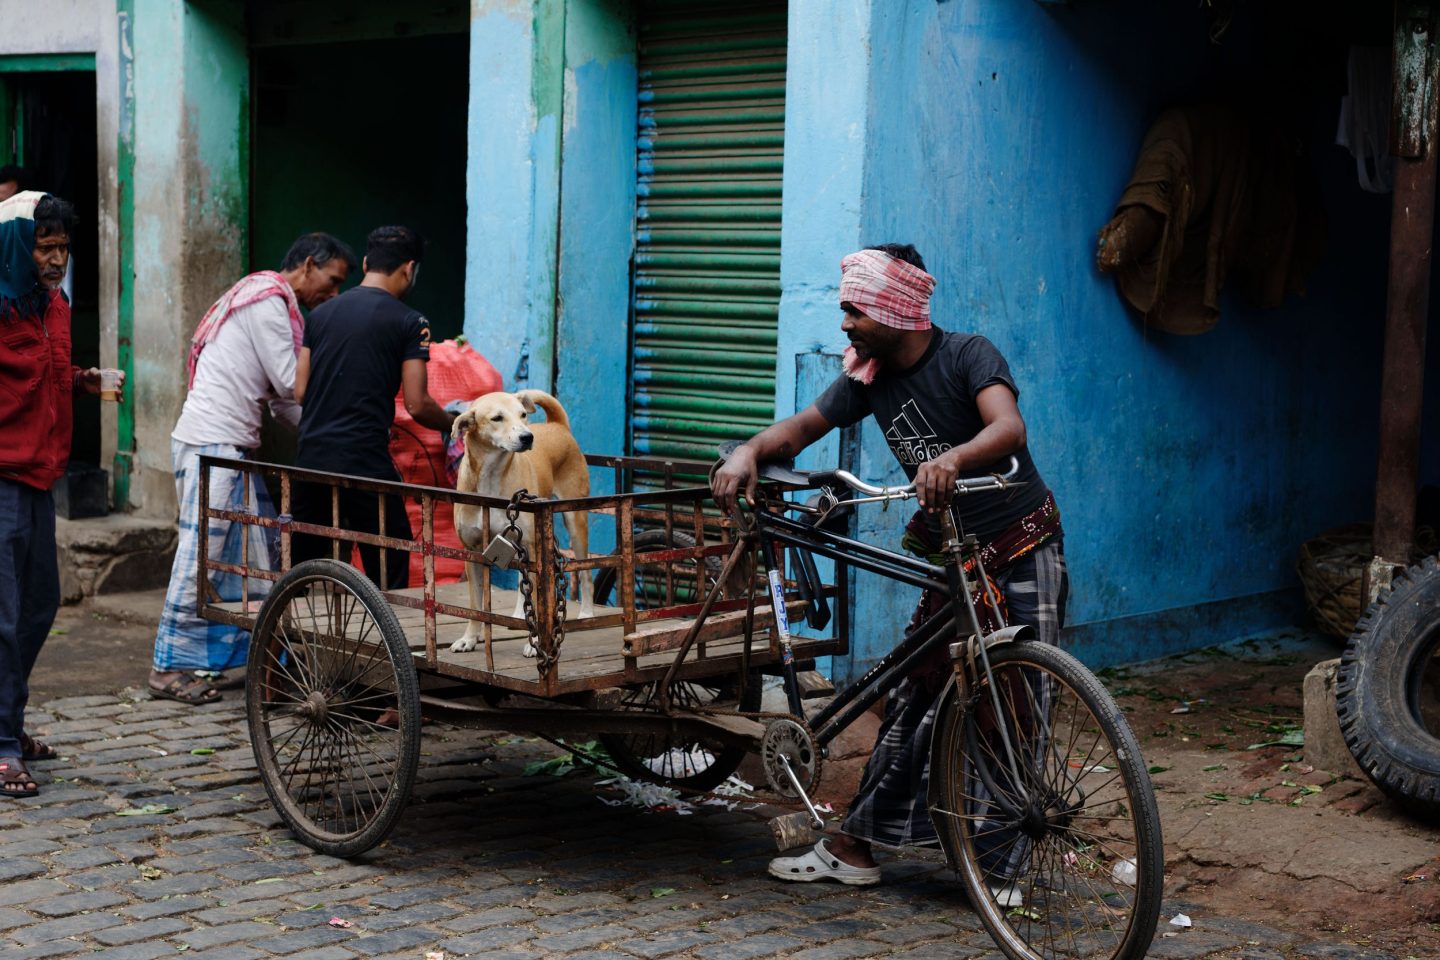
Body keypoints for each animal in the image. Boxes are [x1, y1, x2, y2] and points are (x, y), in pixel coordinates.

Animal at [446, 385, 587, 656]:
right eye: (497, 418)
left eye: (522, 414)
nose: (527, 437)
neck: (492, 476)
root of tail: (557, 425)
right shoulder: (471, 551)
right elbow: (475, 604)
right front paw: (469, 638)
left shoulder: (535, 547)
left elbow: (539, 600)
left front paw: (536, 642)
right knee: (523, 583)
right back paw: (520, 614)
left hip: (576, 521)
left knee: (586, 572)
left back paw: (587, 613)